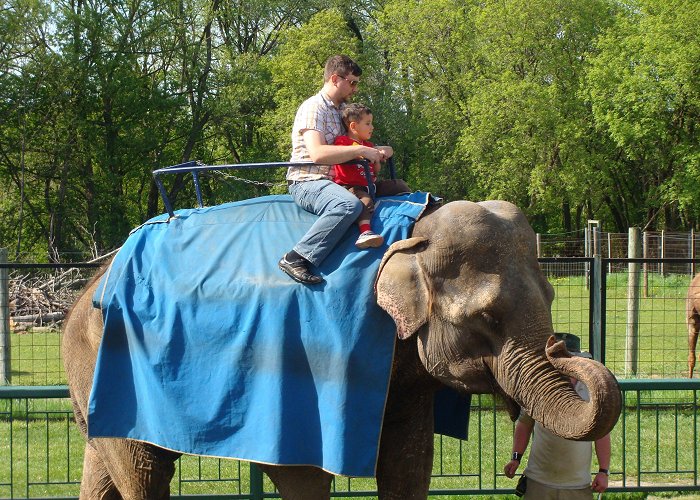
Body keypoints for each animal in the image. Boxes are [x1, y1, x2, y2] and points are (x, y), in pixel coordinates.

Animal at [63, 199, 620, 500]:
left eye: (551, 298)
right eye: (486, 318)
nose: (561, 345)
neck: (410, 238)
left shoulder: (406, 372)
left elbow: (410, 461)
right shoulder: (304, 367)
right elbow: (303, 474)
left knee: (103, 463)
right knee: (143, 470)